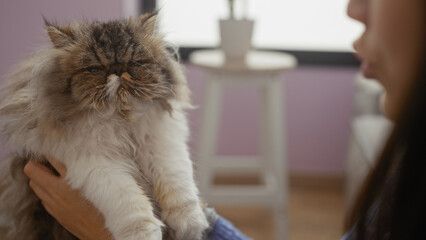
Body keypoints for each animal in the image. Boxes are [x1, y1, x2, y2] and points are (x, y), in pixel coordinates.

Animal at [0, 13, 208, 240]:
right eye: (94, 69)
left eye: (134, 63)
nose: (118, 70)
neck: (122, 121)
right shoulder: (97, 163)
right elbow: (130, 203)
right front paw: (145, 234)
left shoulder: (163, 145)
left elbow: (179, 188)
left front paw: (190, 226)